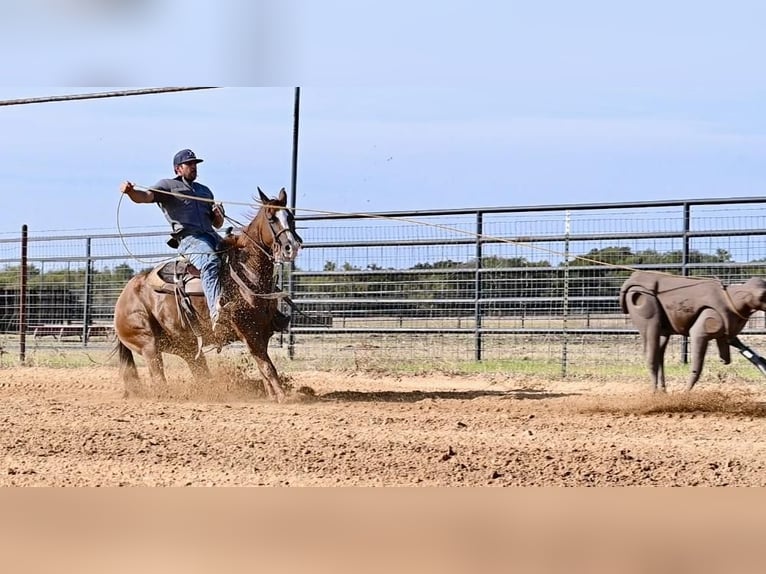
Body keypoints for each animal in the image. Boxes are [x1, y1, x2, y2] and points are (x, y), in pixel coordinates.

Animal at [113, 187, 304, 402]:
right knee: (158, 378)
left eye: (291, 217)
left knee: (200, 372)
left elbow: (263, 366)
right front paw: (283, 397)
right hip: (148, 344)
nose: (291, 246)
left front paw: (272, 396)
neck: (246, 272)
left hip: (185, 346)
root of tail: (122, 299)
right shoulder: (247, 329)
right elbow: (267, 366)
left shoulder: (263, 330)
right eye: (271, 218)